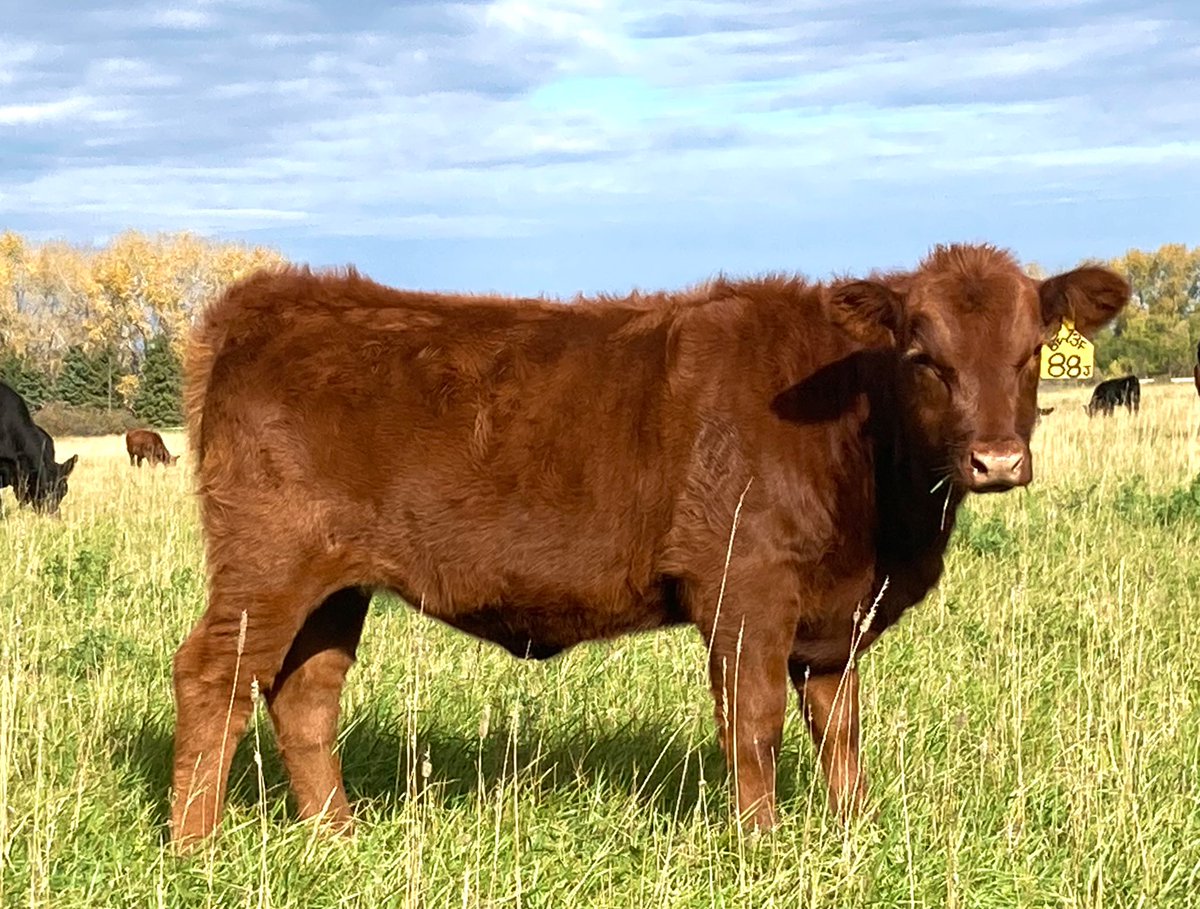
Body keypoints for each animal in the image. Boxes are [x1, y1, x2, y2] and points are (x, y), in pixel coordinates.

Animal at [168, 244, 1130, 846]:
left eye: (1031, 351)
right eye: (924, 356)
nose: (997, 458)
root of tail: (269, 302)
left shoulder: (836, 614)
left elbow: (840, 724)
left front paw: (854, 827)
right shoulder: (745, 588)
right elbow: (754, 720)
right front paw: (761, 845)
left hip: (337, 582)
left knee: (304, 692)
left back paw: (336, 834)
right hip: (267, 564)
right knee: (214, 677)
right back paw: (195, 847)